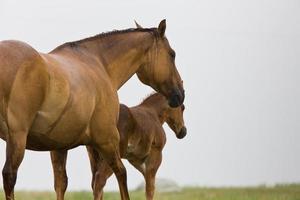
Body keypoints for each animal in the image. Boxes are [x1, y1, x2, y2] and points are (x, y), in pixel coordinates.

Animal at [52, 92, 186, 200]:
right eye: (183, 108)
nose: (183, 132)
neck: (153, 114)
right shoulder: (155, 155)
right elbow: (150, 188)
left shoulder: (135, 160)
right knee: (100, 180)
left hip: (95, 157)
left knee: (93, 182)